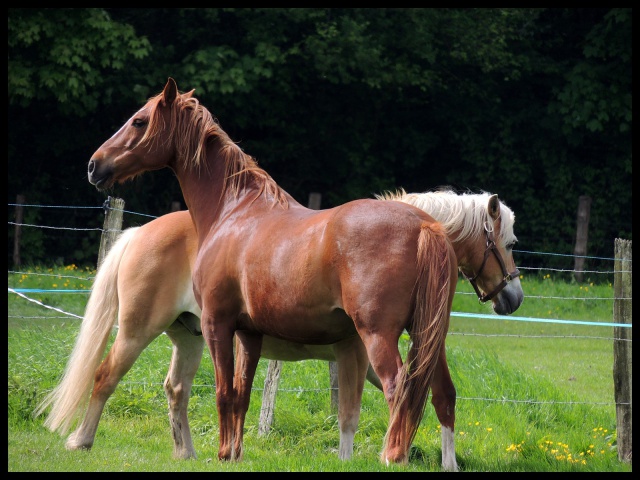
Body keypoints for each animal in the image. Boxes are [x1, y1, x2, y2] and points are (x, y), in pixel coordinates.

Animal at [35, 189, 524, 470]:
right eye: (506, 241)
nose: (514, 297)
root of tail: (140, 231)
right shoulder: (359, 352)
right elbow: (361, 409)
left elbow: (427, 398)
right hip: (138, 330)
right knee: (105, 376)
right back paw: (80, 441)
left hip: (192, 338)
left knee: (175, 389)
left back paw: (187, 453)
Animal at [80, 78, 520, 464]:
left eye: (139, 121)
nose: (94, 165)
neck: (234, 211)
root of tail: (425, 226)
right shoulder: (249, 334)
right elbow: (241, 396)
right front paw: (233, 454)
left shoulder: (218, 324)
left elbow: (224, 392)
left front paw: (222, 453)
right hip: (428, 337)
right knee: (442, 394)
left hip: (379, 337)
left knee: (401, 392)